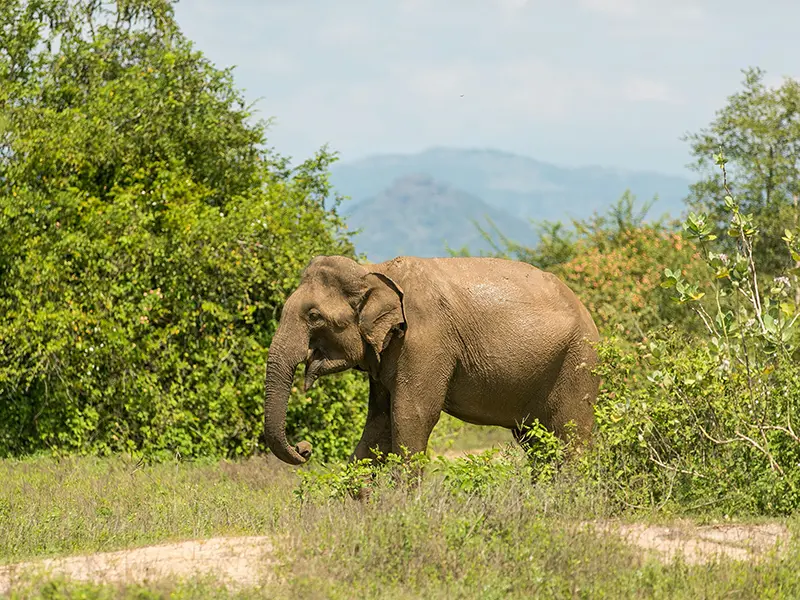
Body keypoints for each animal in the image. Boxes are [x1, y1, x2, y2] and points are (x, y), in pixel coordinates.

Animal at [263, 254, 600, 466]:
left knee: (570, 434)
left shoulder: (424, 340)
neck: (372, 270)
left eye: (314, 317)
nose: (304, 448)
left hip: (578, 363)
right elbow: (379, 422)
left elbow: (411, 415)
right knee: (536, 440)